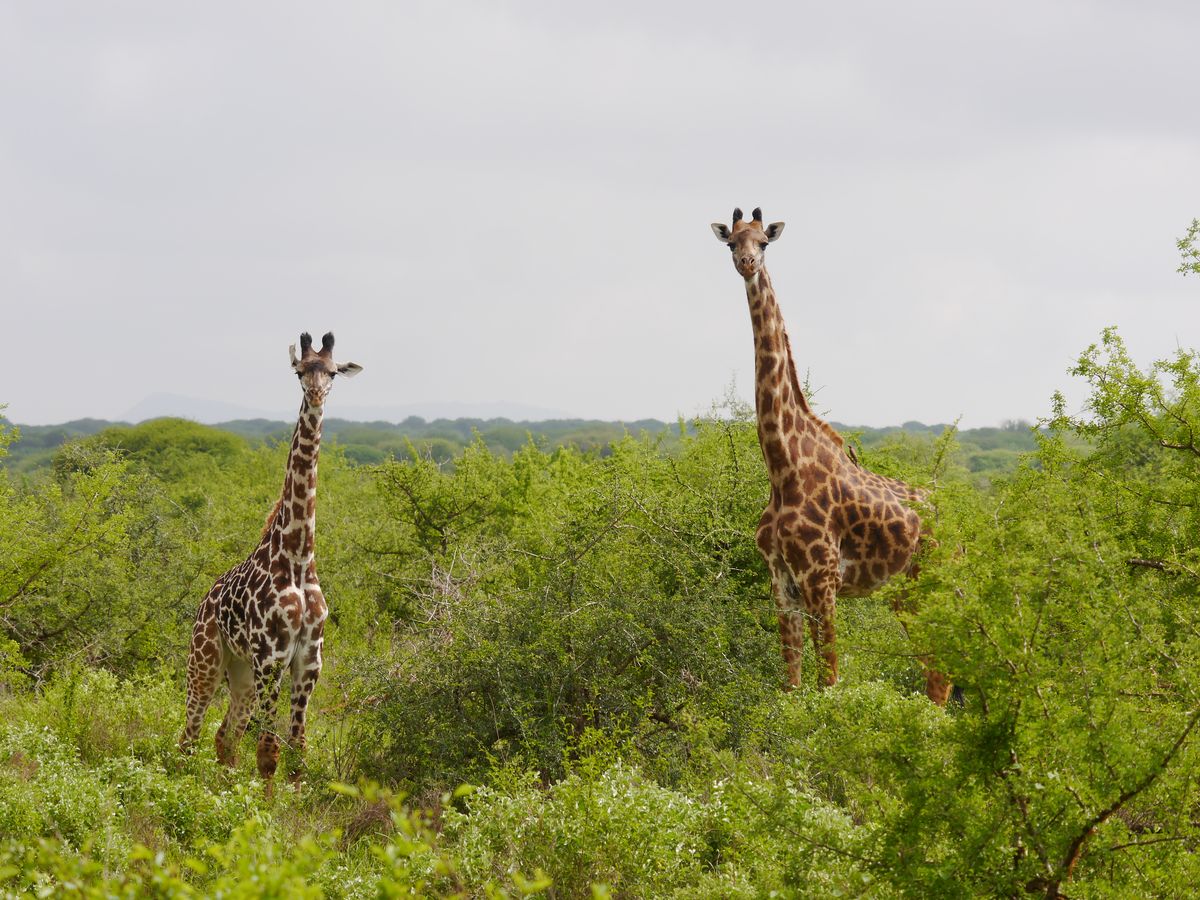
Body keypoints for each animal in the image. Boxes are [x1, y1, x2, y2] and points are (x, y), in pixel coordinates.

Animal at [178, 331, 363, 791]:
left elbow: (297, 749)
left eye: (332, 373)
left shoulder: (309, 660)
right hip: (206, 661)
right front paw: (264, 807)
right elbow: (267, 752)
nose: (316, 395)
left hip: (241, 674)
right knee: (189, 734)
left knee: (224, 735)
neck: (297, 557)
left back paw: (223, 791)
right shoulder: (271, 656)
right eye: (299, 372)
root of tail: (204, 601)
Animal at [710, 207, 951, 704]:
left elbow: (829, 683)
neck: (782, 467)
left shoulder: (822, 580)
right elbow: (791, 686)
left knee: (942, 674)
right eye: (731, 243)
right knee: (936, 674)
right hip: (904, 592)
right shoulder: (781, 582)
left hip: (930, 581)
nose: (746, 263)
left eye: (765, 242)